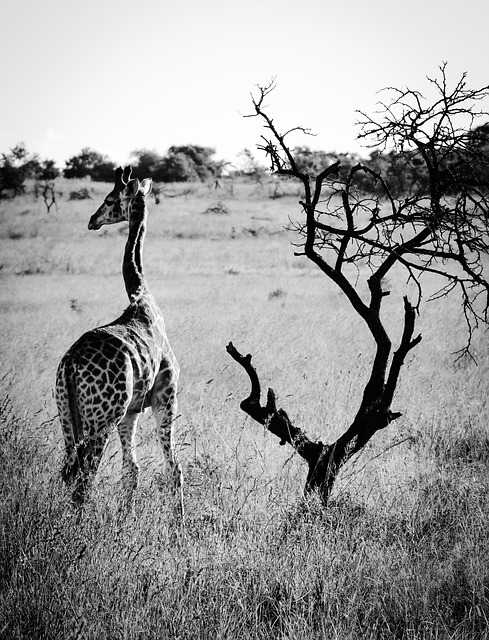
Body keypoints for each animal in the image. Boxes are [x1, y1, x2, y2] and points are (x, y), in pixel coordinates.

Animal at [55, 165, 184, 516]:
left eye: (110, 199)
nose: (92, 220)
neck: (143, 300)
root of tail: (70, 365)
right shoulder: (165, 393)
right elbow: (173, 466)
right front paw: (178, 521)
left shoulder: (132, 410)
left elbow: (132, 469)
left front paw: (126, 517)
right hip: (101, 418)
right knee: (84, 475)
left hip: (68, 414)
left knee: (68, 470)